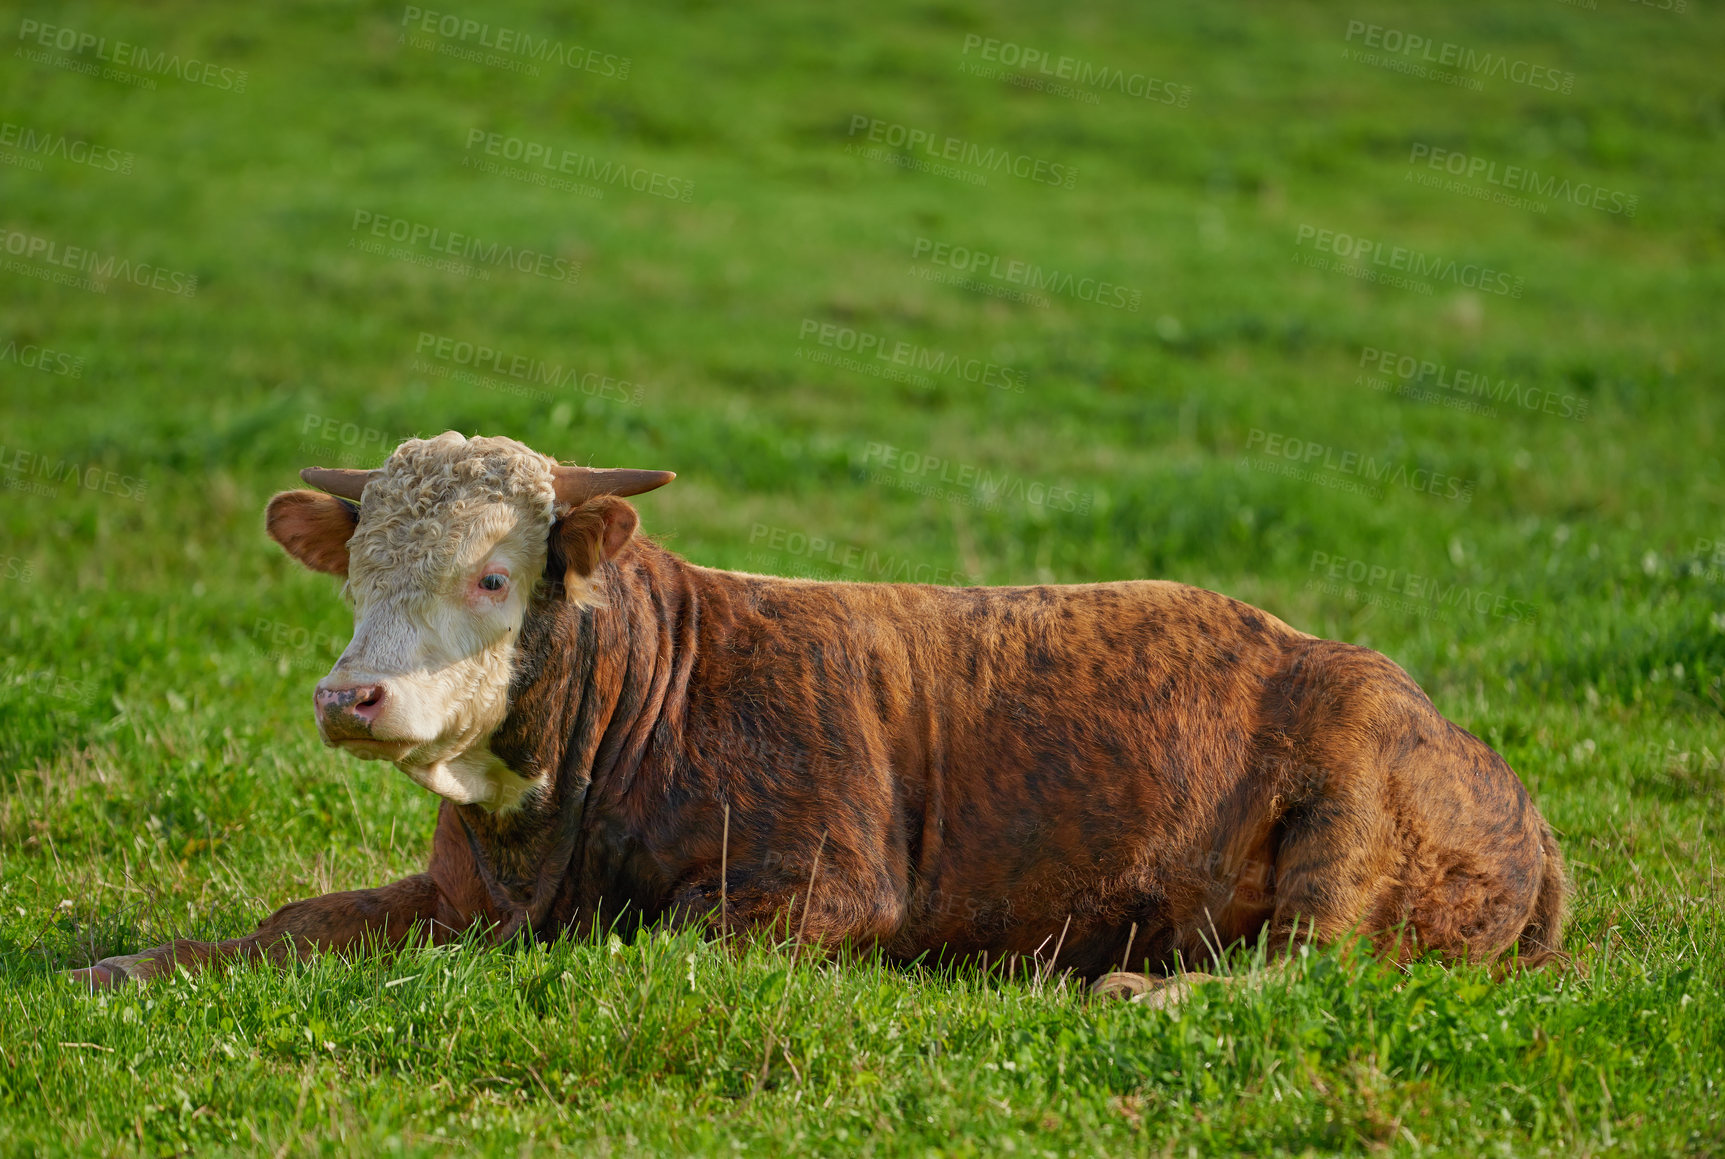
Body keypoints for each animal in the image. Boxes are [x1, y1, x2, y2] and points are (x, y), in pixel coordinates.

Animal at [74, 429, 1573, 1000]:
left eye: (494, 573)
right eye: (356, 570)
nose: (352, 694)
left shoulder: (821, 886)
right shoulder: (459, 888)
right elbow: (294, 921)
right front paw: (128, 963)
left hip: (1349, 810)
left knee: (1313, 959)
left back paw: (1140, 983)